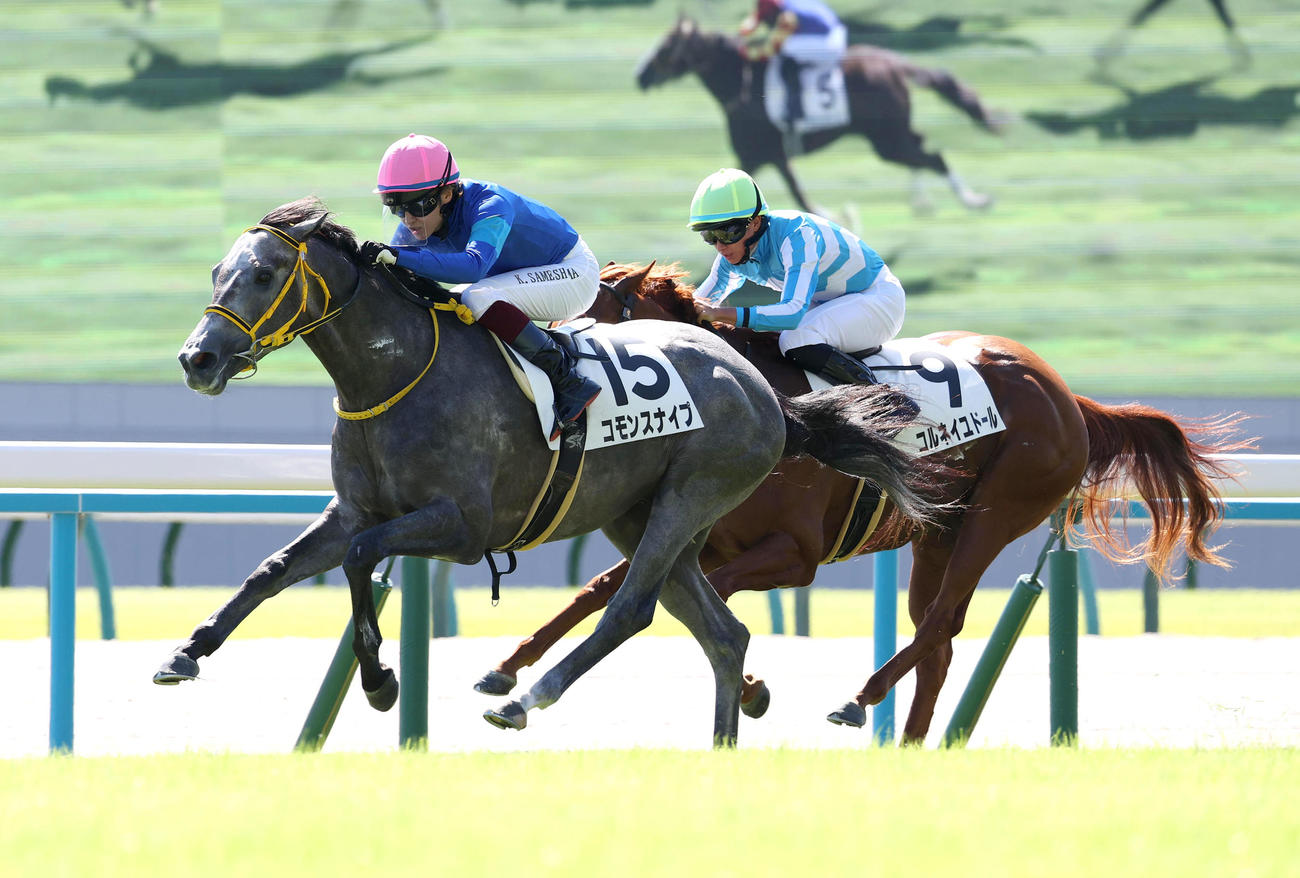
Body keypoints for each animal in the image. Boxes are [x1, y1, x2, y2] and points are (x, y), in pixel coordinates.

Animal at [151, 198, 939, 748]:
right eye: (219, 272)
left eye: (263, 274)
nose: (198, 359)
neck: (395, 373)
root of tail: (765, 389)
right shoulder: (355, 509)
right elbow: (274, 568)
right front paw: (187, 652)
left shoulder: (460, 527)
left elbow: (358, 559)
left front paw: (379, 682)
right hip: (643, 516)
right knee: (721, 633)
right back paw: (720, 747)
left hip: (690, 497)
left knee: (631, 608)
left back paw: (523, 700)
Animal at [474, 262, 1251, 744]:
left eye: (592, 309)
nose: (561, 364)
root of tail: (1067, 395)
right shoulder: (689, 528)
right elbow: (610, 587)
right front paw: (506, 667)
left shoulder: (794, 555)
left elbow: (670, 597)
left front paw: (751, 686)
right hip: (938, 533)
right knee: (939, 636)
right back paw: (909, 745)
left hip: (997, 514)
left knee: (941, 622)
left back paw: (859, 700)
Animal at [635, 15, 1003, 214]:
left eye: (665, 47)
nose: (641, 76)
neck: (740, 82)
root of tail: (896, 64)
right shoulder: (775, 155)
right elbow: (797, 195)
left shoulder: (757, 153)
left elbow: (796, 198)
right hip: (892, 134)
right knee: (923, 149)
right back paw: (923, 201)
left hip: (887, 140)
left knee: (934, 157)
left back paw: (974, 200)